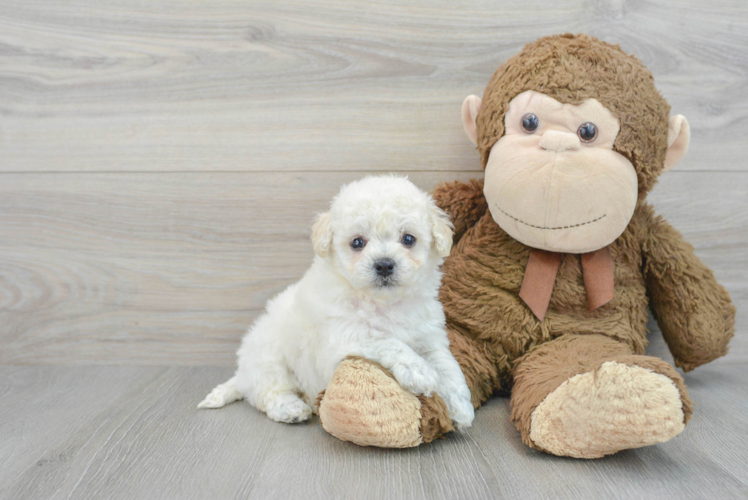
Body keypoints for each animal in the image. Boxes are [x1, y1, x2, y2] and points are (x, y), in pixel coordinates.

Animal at [199, 176, 474, 430]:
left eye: (408, 239)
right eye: (357, 242)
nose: (384, 264)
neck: (384, 303)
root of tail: (242, 373)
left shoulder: (430, 337)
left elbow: (447, 366)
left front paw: (461, 407)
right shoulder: (344, 338)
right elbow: (389, 342)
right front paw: (418, 370)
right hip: (268, 357)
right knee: (269, 392)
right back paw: (291, 408)